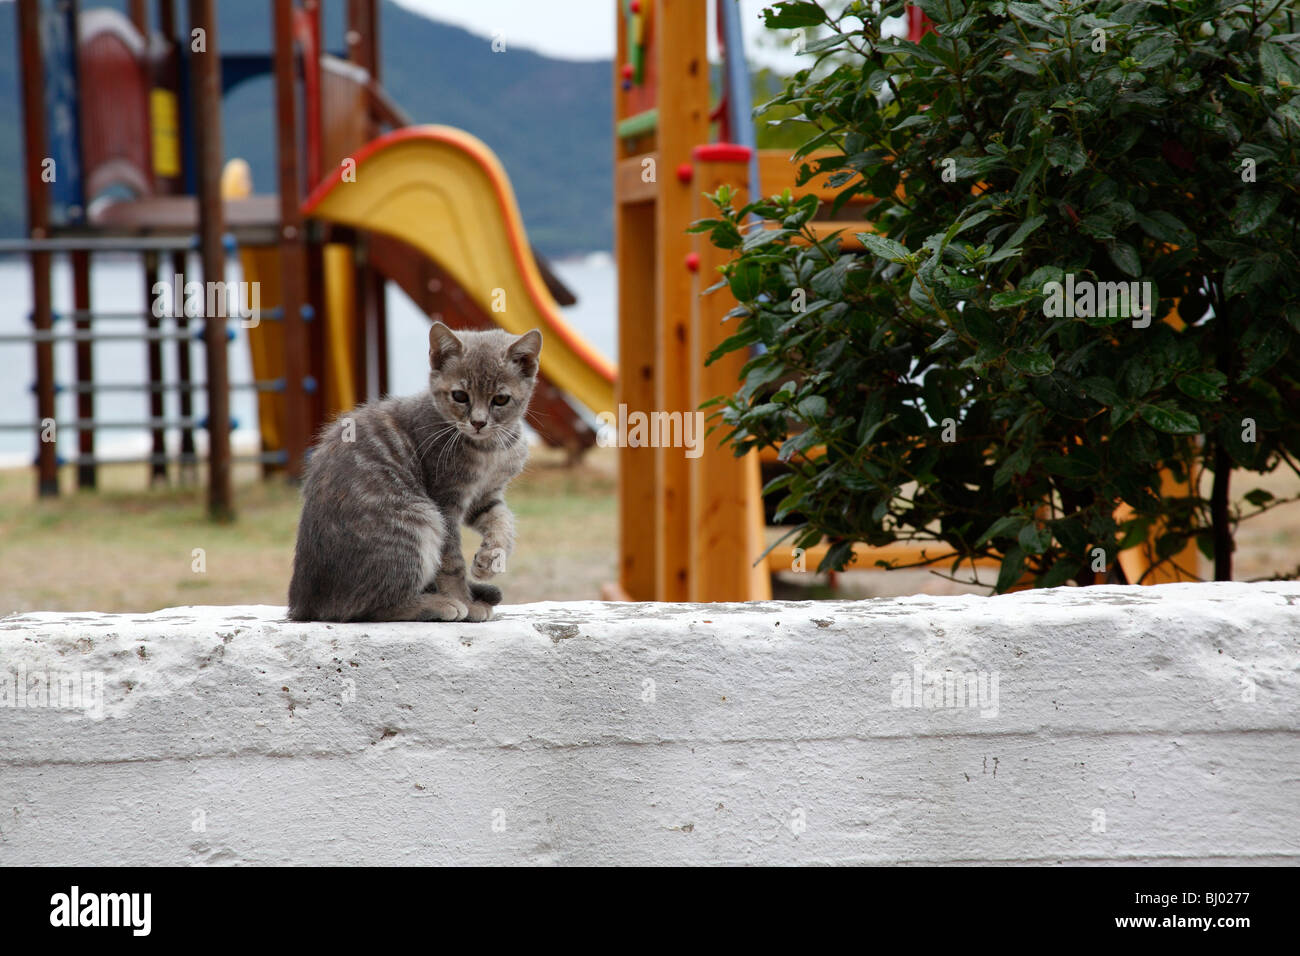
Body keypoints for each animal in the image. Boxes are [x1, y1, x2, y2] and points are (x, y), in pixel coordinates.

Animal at [287, 321, 540, 621]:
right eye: (459, 396)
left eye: (500, 399)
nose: (478, 422)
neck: (491, 449)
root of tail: (305, 603)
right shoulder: (445, 500)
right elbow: (451, 560)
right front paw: (462, 599)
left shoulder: (485, 496)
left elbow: (503, 519)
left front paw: (492, 557)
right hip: (417, 520)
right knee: (367, 607)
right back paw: (439, 604)